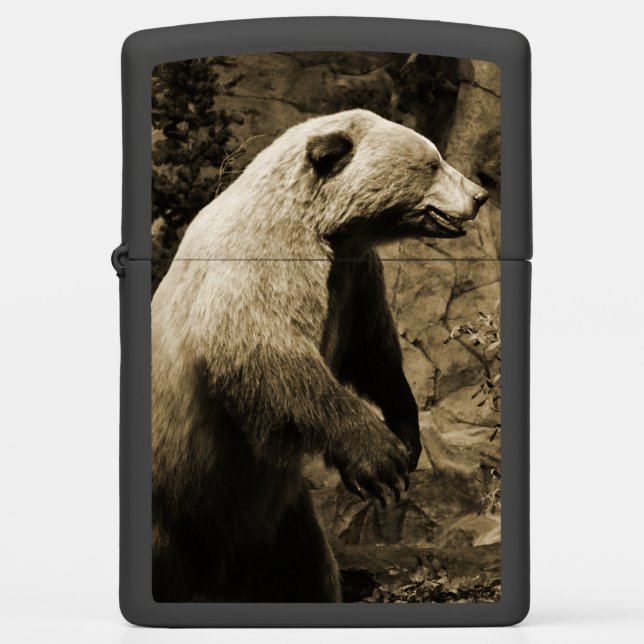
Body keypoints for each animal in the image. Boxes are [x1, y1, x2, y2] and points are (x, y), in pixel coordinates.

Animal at [151, 108, 488, 602]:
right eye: (432, 163)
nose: (480, 195)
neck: (327, 228)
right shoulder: (262, 260)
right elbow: (267, 350)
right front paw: (381, 462)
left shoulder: (355, 278)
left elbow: (373, 352)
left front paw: (407, 437)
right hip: (176, 501)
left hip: (277, 519)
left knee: (302, 570)